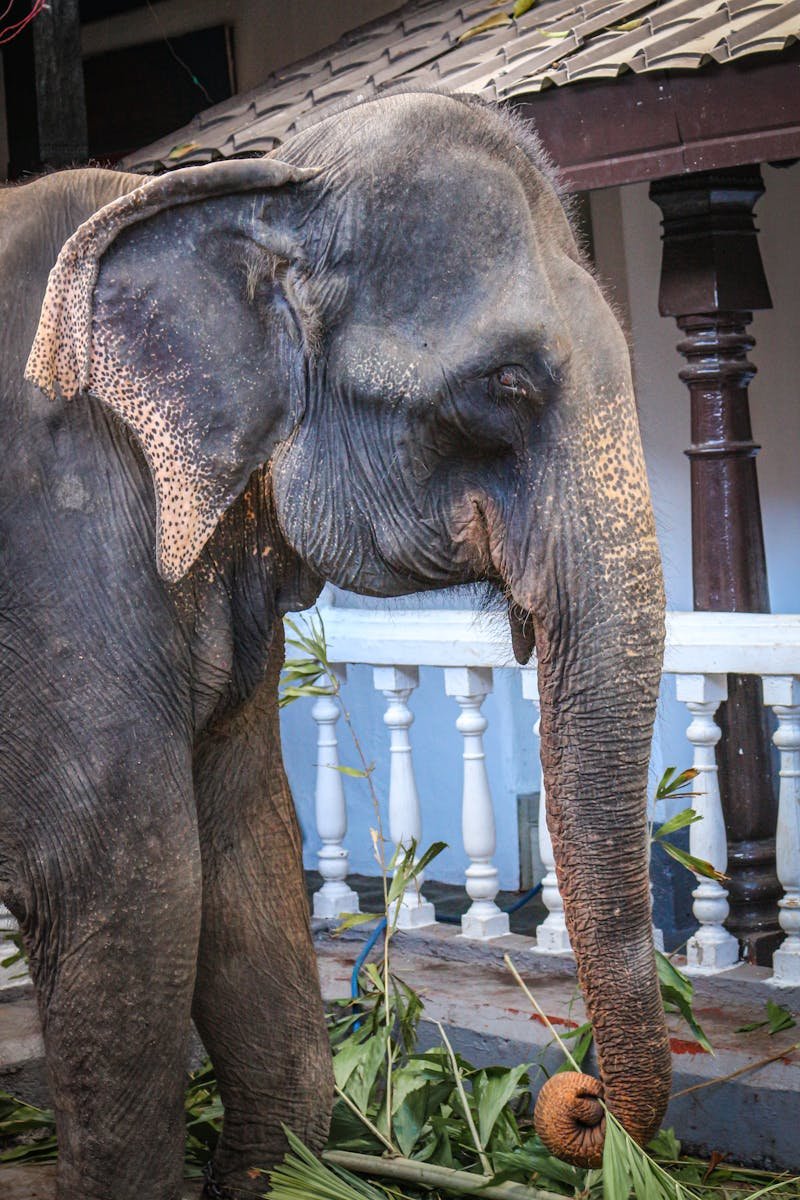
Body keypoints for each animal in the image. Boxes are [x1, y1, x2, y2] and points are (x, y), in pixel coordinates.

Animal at [0, 88, 668, 1199]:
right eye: (508, 384)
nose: (578, 1099)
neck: (251, 187)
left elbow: (246, 848)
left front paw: (284, 1173)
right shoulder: (54, 543)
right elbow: (128, 886)